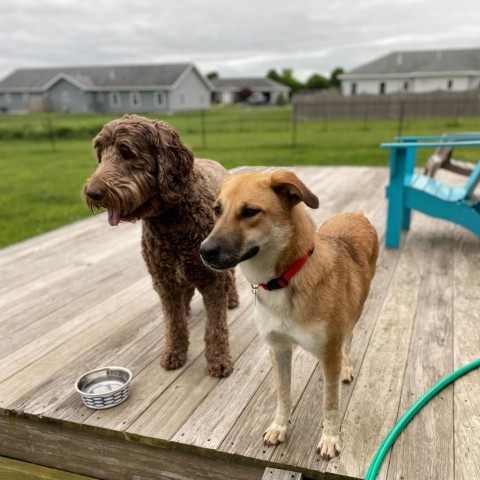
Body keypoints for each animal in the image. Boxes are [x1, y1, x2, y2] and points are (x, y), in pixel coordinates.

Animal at [84, 114, 240, 376]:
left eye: (126, 151)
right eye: (100, 152)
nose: (93, 193)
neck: (172, 221)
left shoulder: (213, 281)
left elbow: (215, 327)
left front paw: (218, 361)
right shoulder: (164, 280)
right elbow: (174, 324)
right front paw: (174, 354)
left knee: (231, 277)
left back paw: (233, 299)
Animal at [200, 170, 378, 458]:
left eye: (249, 212)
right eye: (217, 210)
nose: (203, 251)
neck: (285, 278)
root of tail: (356, 214)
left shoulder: (329, 351)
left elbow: (331, 403)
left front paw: (330, 437)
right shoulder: (278, 348)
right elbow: (282, 394)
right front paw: (279, 427)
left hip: (355, 312)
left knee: (348, 342)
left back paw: (346, 366)